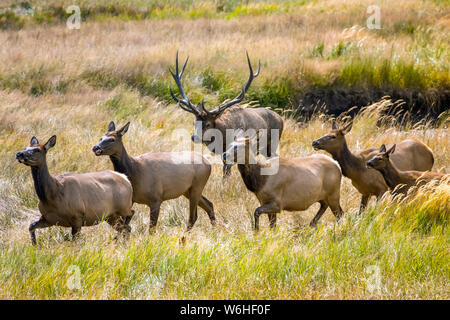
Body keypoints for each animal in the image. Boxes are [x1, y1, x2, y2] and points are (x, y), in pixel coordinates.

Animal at [171, 51, 284, 179]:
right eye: (194, 122)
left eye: (208, 124)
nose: (194, 137)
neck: (223, 137)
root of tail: (281, 118)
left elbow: (226, 175)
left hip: (273, 143)